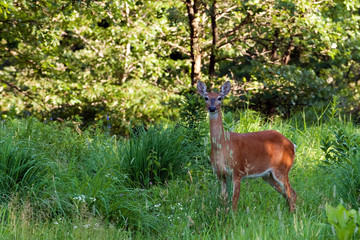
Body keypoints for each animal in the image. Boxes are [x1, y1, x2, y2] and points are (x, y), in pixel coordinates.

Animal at [197, 80, 296, 212]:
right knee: (288, 193)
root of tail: (292, 145)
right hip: (268, 175)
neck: (223, 144)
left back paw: (292, 214)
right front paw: (222, 215)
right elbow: (223, 199)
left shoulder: (238, 170)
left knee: (291, 194)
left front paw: (232, 217)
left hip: (282, 167)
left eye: (220, 98)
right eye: (206, 98)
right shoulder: (220, 174)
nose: (212, 108)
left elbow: (234, 201)